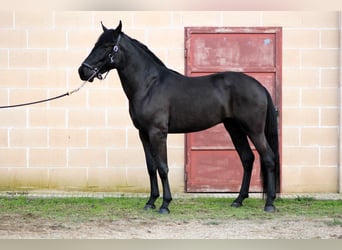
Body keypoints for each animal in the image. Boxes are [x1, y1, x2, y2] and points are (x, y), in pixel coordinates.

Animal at [79, 21, 280, 213]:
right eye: (96, 44)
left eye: (108, 46)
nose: (83, 71)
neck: (149, 85)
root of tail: (260, 86)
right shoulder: (143, 134)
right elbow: (151, 167)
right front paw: (150, 202)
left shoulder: (158, 133)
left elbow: (162, 167)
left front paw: (165, 205)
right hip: (234, 129)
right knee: (247, 159)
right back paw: (238, 200)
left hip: (253, 130)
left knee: (268, 158)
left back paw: (269, 204)